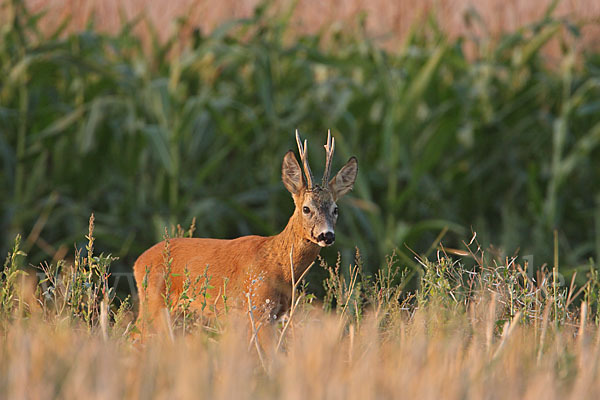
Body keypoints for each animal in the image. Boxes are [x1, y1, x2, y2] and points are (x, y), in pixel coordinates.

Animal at [132, 130, 356, 336]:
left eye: (335, 209)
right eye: (306, 208)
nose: (326, 235)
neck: (277, 263)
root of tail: (138, 262)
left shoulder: (274, 314)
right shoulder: (256, 308)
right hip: (153, 302)